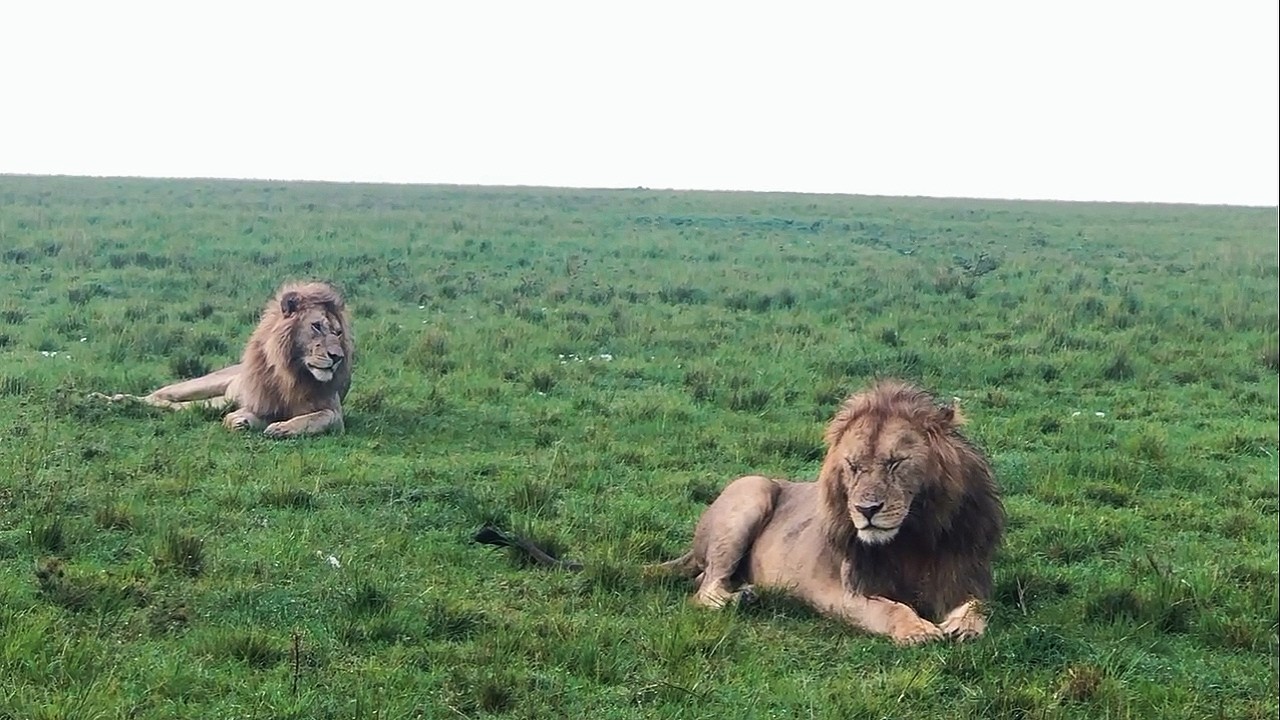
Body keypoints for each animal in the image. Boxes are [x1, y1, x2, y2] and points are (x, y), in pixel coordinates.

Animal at [91, 281, 353, 439]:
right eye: (316, 326)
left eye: (338, 332)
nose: (337, 357)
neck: (295, 373)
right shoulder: (260, 402)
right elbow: (237, 417)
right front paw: (240, 422)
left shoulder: (334, 412)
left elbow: (320, 418)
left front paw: (282, 427)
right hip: (199, 385)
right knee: (157, 396)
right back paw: (109, 399)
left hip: (215, 402)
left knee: (174, 406)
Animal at [657, 379, 1004, 645]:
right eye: (853, 465)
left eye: (895, 463)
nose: (866, 509)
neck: (913, 537)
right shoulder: (846, 592)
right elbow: (890, 608)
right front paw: (917, 629)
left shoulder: (964, 576)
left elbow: (978, 606)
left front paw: (963, 626)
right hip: (752, 488)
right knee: (705, 589)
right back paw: (742, 598)